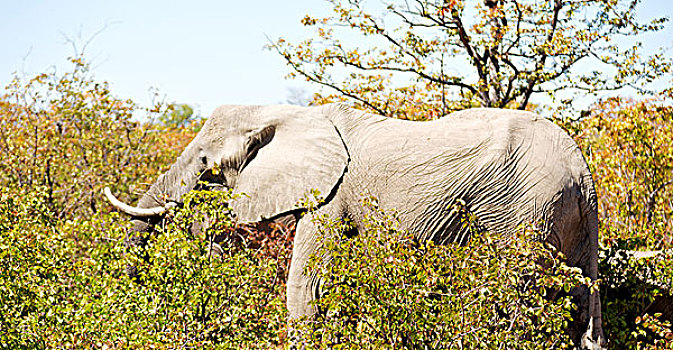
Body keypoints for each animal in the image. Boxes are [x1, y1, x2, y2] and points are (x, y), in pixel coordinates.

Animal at [105, 102, 604, 348]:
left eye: (206, 165)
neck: (280, 112)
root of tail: (583, 169)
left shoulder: (330, 196)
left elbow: (306, 288)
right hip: (570, 218)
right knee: (583, 305)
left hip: (525, 211)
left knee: (511, 298)